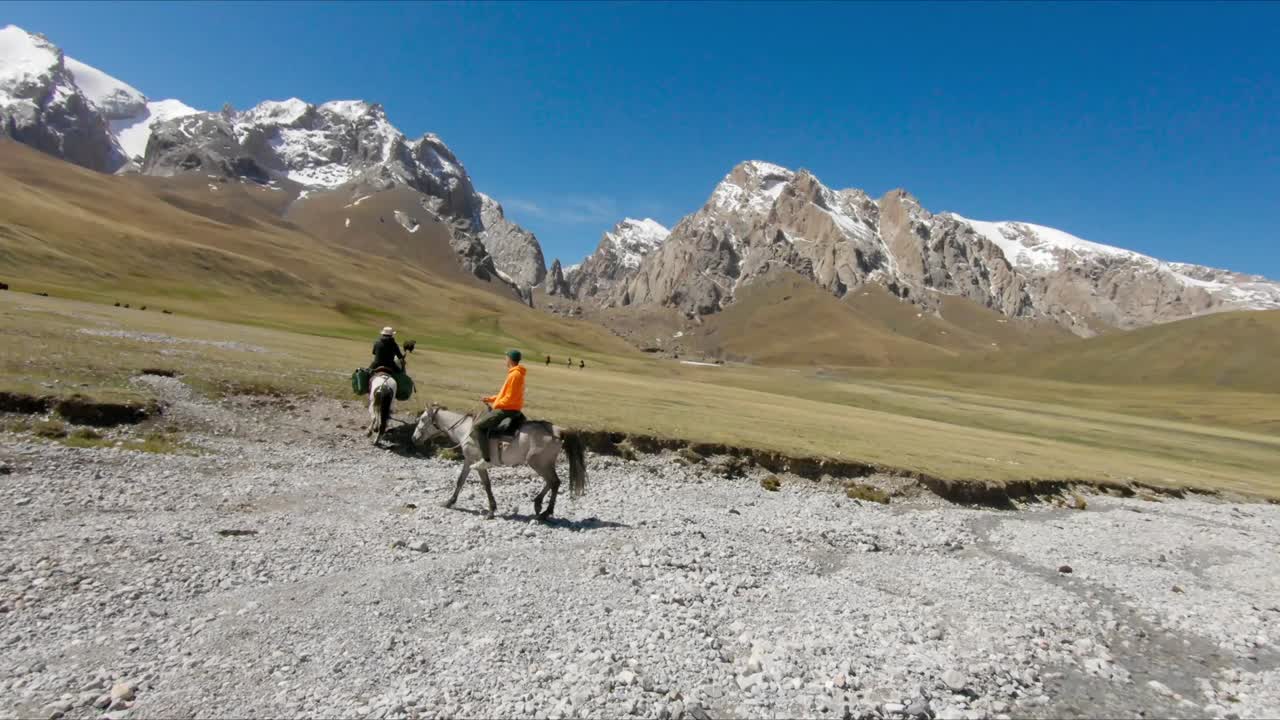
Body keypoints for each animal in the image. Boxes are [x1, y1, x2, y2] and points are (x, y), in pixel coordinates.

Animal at [412, 404, 587, 520]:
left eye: (422, 419)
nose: (414, 438)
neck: (466, 430)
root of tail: (558, 430)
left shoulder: (477, 463)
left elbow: (486, 485)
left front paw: (491, 511)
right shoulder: (468, 461)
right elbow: (460, 480)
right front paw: (449, 502)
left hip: (538, 463)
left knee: (554, 482)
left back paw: (545, 512)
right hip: (545, 463)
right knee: (552, 482)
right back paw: (538, 505)